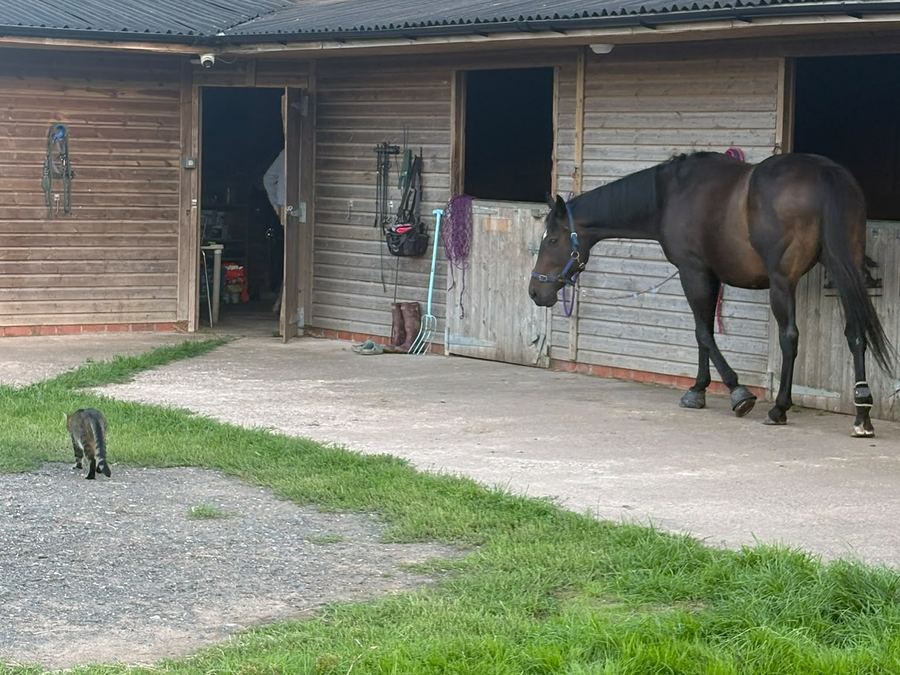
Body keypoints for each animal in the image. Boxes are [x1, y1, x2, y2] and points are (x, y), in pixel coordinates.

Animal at [528, 152, 893, 437]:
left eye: (552, 240)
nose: (535, 291)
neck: (669, 196)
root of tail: (824, 173)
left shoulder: (693, 272)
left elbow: (702, 333)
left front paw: (738, 393)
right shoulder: (710, 276)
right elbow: (703, 333)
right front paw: (698, 390)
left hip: (783, 282)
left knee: (790, 337)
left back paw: (778, 409)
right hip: (843, 268)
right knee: (855, 333)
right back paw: (862, 415)